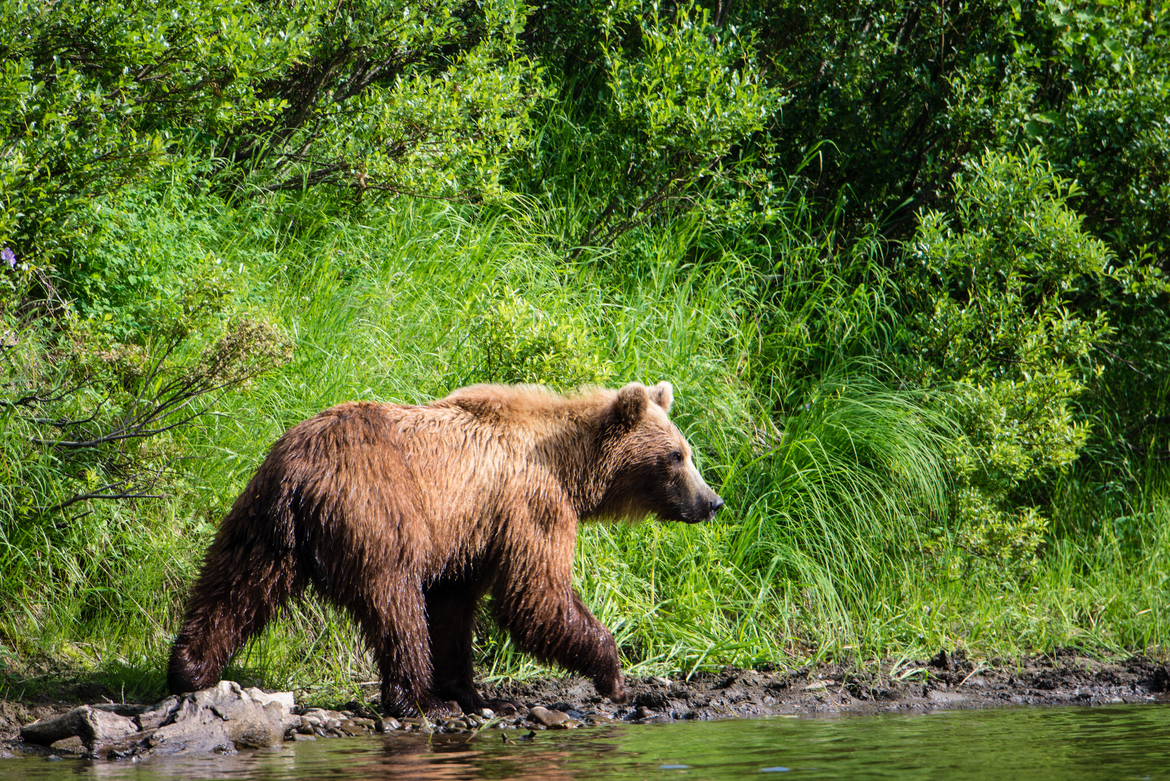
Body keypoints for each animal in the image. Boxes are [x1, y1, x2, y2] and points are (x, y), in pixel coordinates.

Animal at [167, 381, 724, 716]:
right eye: (676, 455)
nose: (712, 501)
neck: (571, 468)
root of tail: (301, 472)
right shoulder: (530, 506)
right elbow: (535, 596)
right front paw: (614, 675)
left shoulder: (471, 533)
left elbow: (455, 606)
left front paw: (471, 690)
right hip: (376, 512)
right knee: (395, 605)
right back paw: (418, 698)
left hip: (262, 519)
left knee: (232, 586)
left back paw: (188, 669)